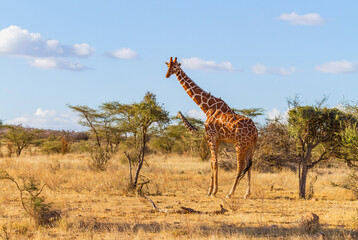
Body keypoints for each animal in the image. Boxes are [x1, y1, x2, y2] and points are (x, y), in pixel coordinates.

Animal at [165, 57, 258, 198]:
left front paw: (213, 191)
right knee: (250, 166)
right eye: (167, 66)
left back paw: (230, 193)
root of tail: (256, 132)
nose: (167, 75)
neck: (207, 107)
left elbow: (214, 163)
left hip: (240, 144)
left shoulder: (211, 137)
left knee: (240, 166)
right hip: (250, 145)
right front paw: (210, 190)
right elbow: (212, 163)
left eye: (175, 67)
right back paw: (247, 194)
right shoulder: (217, 139)